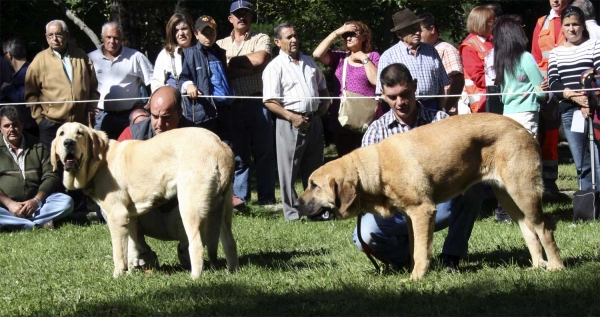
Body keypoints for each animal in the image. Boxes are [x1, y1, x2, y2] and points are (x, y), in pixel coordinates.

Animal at [51, 122, 239, 278]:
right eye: (61, 133)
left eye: (80, 133)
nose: (68, 143)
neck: (101, 159)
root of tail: (219, 144)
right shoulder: (130, 217)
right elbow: (132, 248)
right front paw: (131, 272)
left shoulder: (116, 216)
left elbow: (118, 252)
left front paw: (117, 275)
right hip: (223, 209)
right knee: (230, 242)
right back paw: (231, 271)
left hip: (189, 208)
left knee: (197, 245)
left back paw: (194, 278)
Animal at [298, 113, 564, 278]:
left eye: (313, 185)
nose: (298, 203)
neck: (376, 170)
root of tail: (524, 129)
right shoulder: (410, 216)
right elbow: (416, 247)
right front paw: (415, 272)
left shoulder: (422, 210)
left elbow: (419, 250)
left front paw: (415, 278)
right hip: (508, 196)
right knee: (529, 229)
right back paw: (537, 265)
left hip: (523, 191)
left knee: (544, 227)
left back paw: (555, 267)